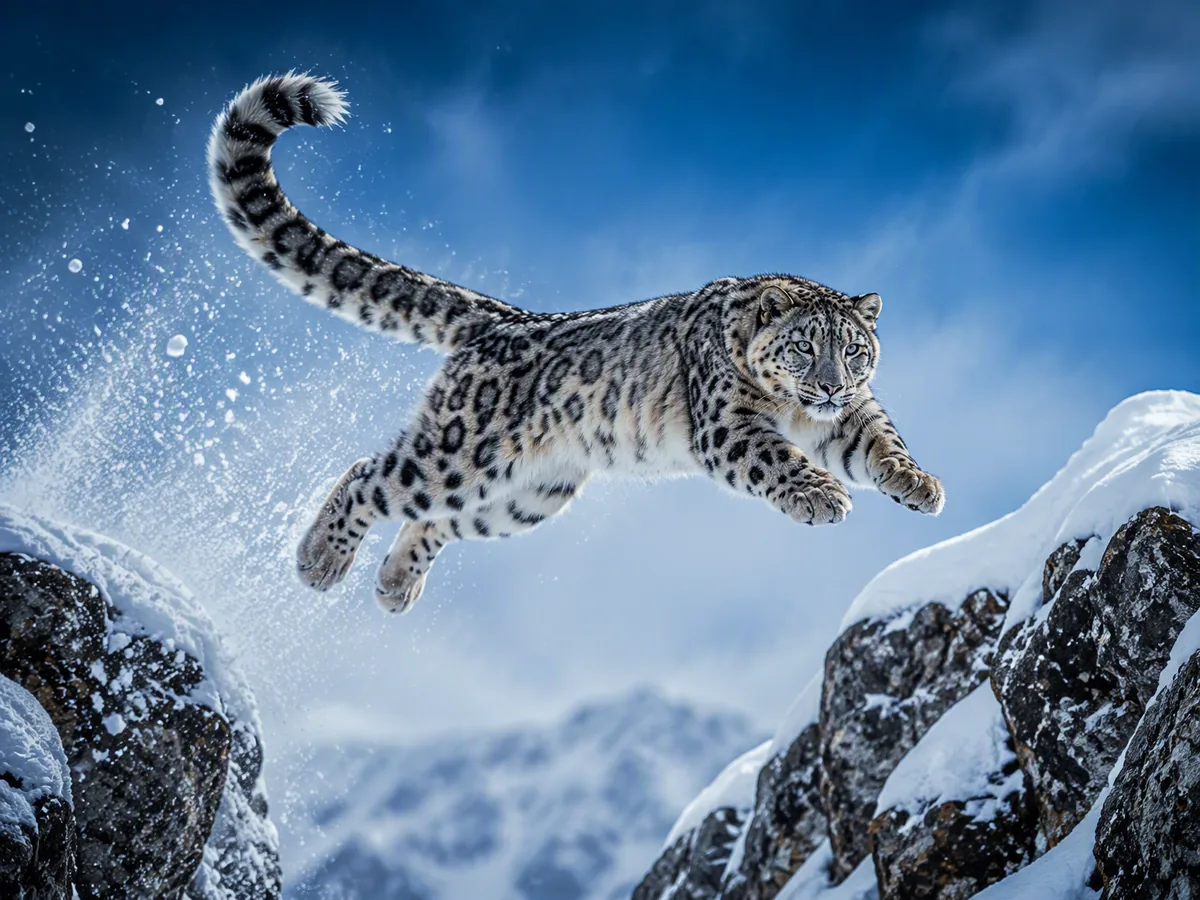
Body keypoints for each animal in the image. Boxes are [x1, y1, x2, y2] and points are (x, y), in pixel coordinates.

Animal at [208, 73, 944, 614]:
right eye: (802, 349)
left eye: (854, 352)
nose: (829, 385)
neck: (798, 411)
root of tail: (506, 320)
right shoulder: (729, 423)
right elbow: (775, 456)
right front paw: (822, 495)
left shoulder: (853, 414)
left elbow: (880, 439)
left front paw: (918, 483)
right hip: (460, 453)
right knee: (372, 474)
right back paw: (320, 560)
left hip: (525, 495)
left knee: (438, 518)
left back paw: (395, 583)